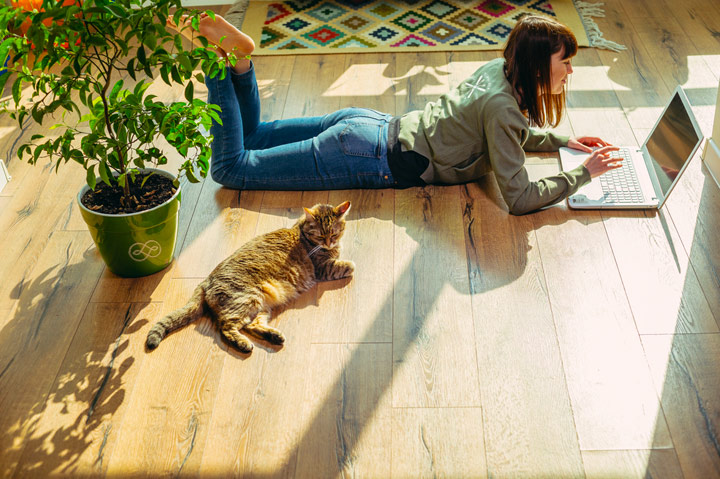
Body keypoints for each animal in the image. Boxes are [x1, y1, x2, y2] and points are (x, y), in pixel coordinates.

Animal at [148, 201, 356, 354]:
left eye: (334, 233)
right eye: (321, 236)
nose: (329, 243)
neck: (302, 231)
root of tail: (206, 280)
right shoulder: (322, 268)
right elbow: (348, 265)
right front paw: (349, 263)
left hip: (260, 305)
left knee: (251, 325)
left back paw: (274, 336)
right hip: (246, 299)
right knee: (226, 326)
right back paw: (244, 344)